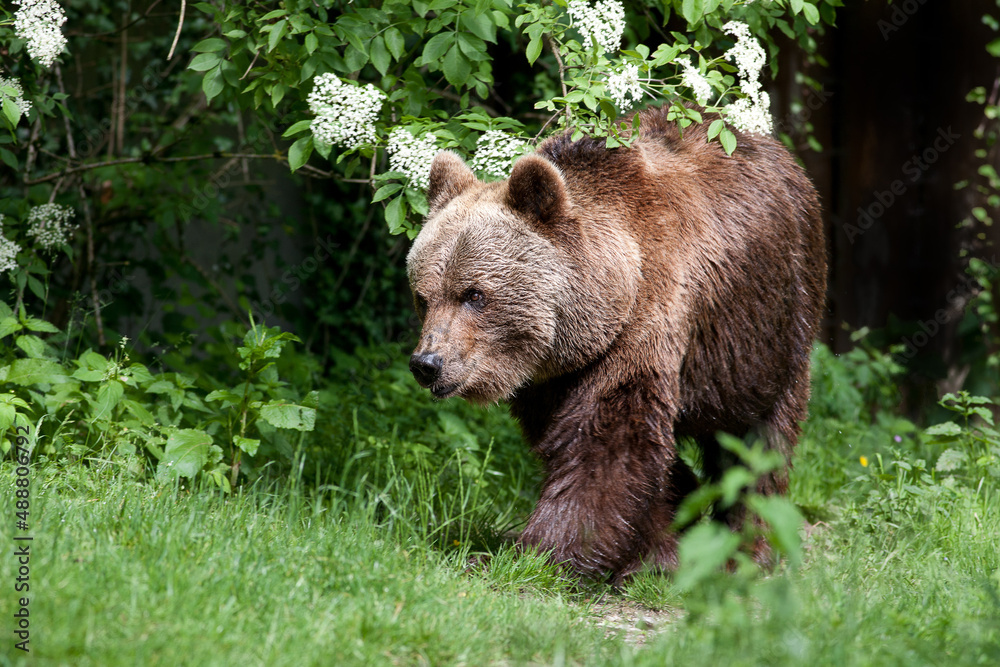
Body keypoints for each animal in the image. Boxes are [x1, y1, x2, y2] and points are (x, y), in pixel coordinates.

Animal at [402, 105, 824, 584]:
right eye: (424, 296)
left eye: (474, 294)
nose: (428, 363)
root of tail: (778, 151)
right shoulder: (554, 379)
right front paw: (663, 540)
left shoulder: (647, 326)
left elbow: (607, 444)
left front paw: (534, 553)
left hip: (776, 325)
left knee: (761, 445)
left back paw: (748, 551)